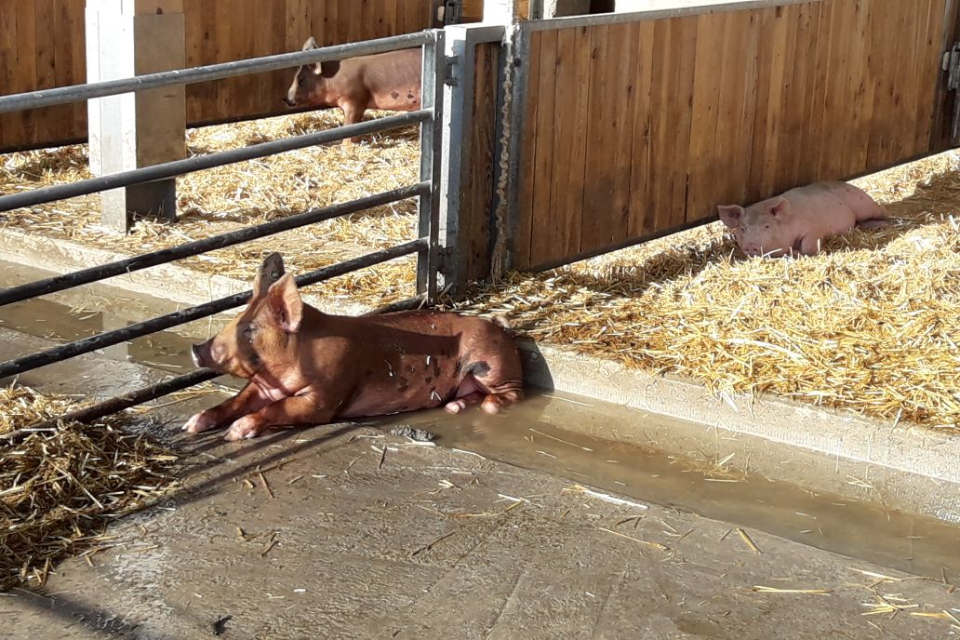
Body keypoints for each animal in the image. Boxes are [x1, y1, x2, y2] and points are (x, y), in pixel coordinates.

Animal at [183, 253, 524, 441]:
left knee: (512, 393)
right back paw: (453, 407)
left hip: (490, 365)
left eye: (249, 329)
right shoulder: (263, 386)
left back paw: (484, 405)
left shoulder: (326, 394)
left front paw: (233, 433)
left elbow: (278, 409)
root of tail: (500, 327)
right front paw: (192, 425)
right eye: (237, 319)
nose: (196, 348)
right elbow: (236, 402)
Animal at [283, 36, 422, 144]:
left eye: (301, 79)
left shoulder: (355, 100)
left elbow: (350, 125)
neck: (332, 79)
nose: (286, 99)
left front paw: (346, 145)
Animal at [716, 181, 888, 257]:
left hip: (864, 205)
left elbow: (808, 246)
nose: (751, 245)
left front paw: (797, 251)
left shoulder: (814, 230)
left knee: (882, 213)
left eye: (767, 226)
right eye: (742, 228)